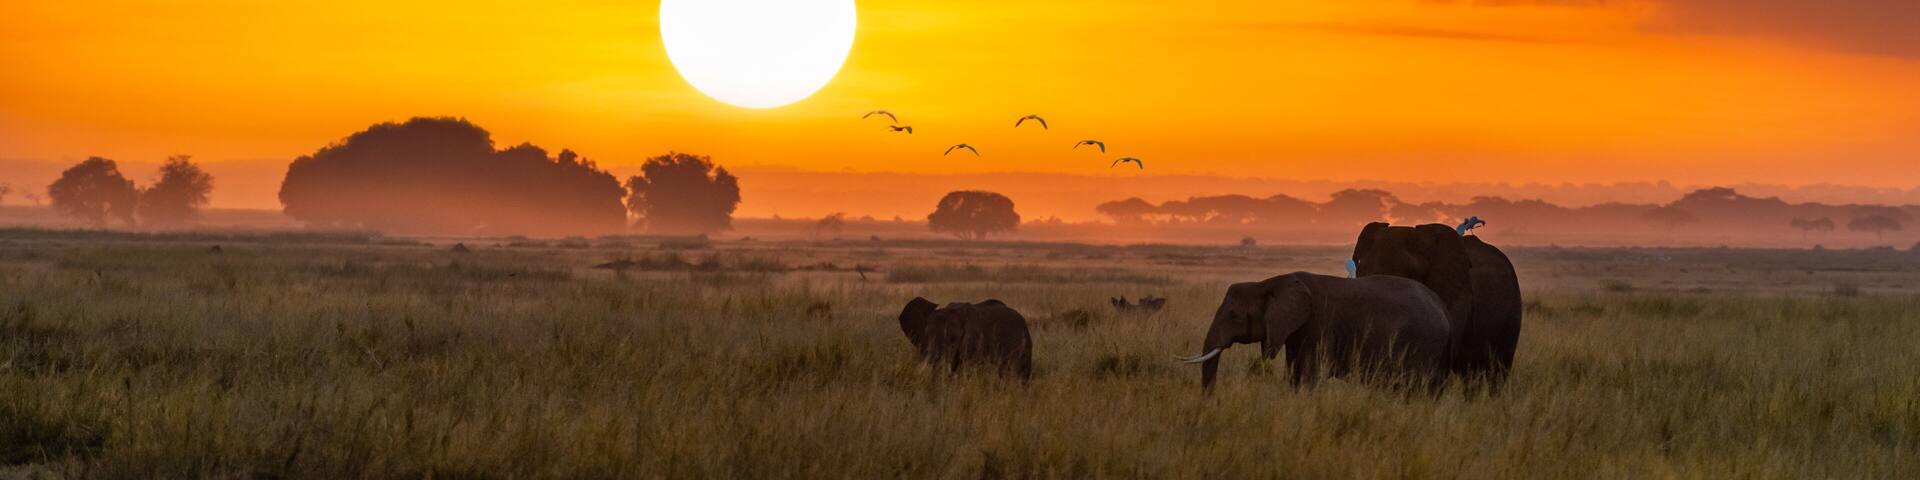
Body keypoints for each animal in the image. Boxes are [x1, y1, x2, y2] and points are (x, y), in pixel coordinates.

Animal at [1178, 272, 1451, 393]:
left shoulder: (1319, 324)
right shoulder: (1293, 329)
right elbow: (1294, 372)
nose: (1211, 400)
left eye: (1234, 315)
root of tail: (1442, 308)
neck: (1270, 282)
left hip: (1422, 344)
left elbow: (1310, 372)